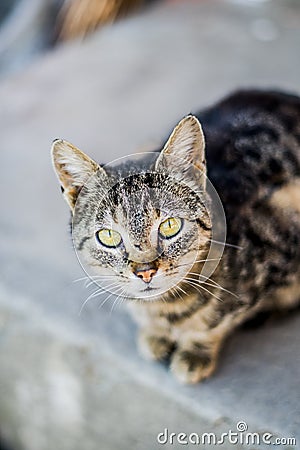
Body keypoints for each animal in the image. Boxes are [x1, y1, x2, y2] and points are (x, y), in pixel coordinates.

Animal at [51, 90, 300, 384]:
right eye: (109, 236)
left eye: (170, 225)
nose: (145, 271)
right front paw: (155, 335)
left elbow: (218, 319)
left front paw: (195, 351)